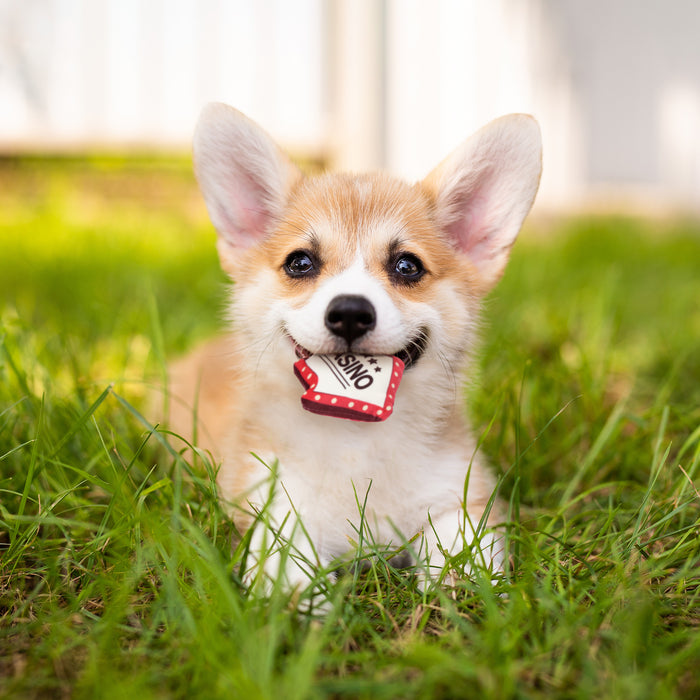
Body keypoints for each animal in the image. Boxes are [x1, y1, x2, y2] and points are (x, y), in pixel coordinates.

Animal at [168, 104, 540, 592]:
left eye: (407, 266)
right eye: (300, 262)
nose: (349, 312)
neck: (355, 435)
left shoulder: (459, 493)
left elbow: (460, 548)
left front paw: (457, 588)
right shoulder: (274, 501)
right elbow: (288, 560)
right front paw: (302, 601)